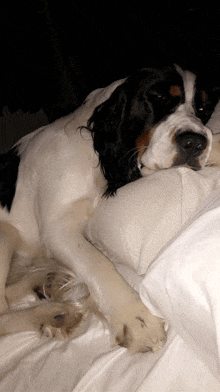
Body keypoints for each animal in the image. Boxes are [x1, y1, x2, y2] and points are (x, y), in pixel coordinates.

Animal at [0, 64, 219, 352]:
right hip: (4, 236)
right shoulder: (58, 228)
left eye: (204, 108)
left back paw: (48, 284)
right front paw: (135, 319)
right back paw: (53, 313)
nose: (194, 143)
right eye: (158, 98)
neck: (91, 152)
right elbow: (97, 263)